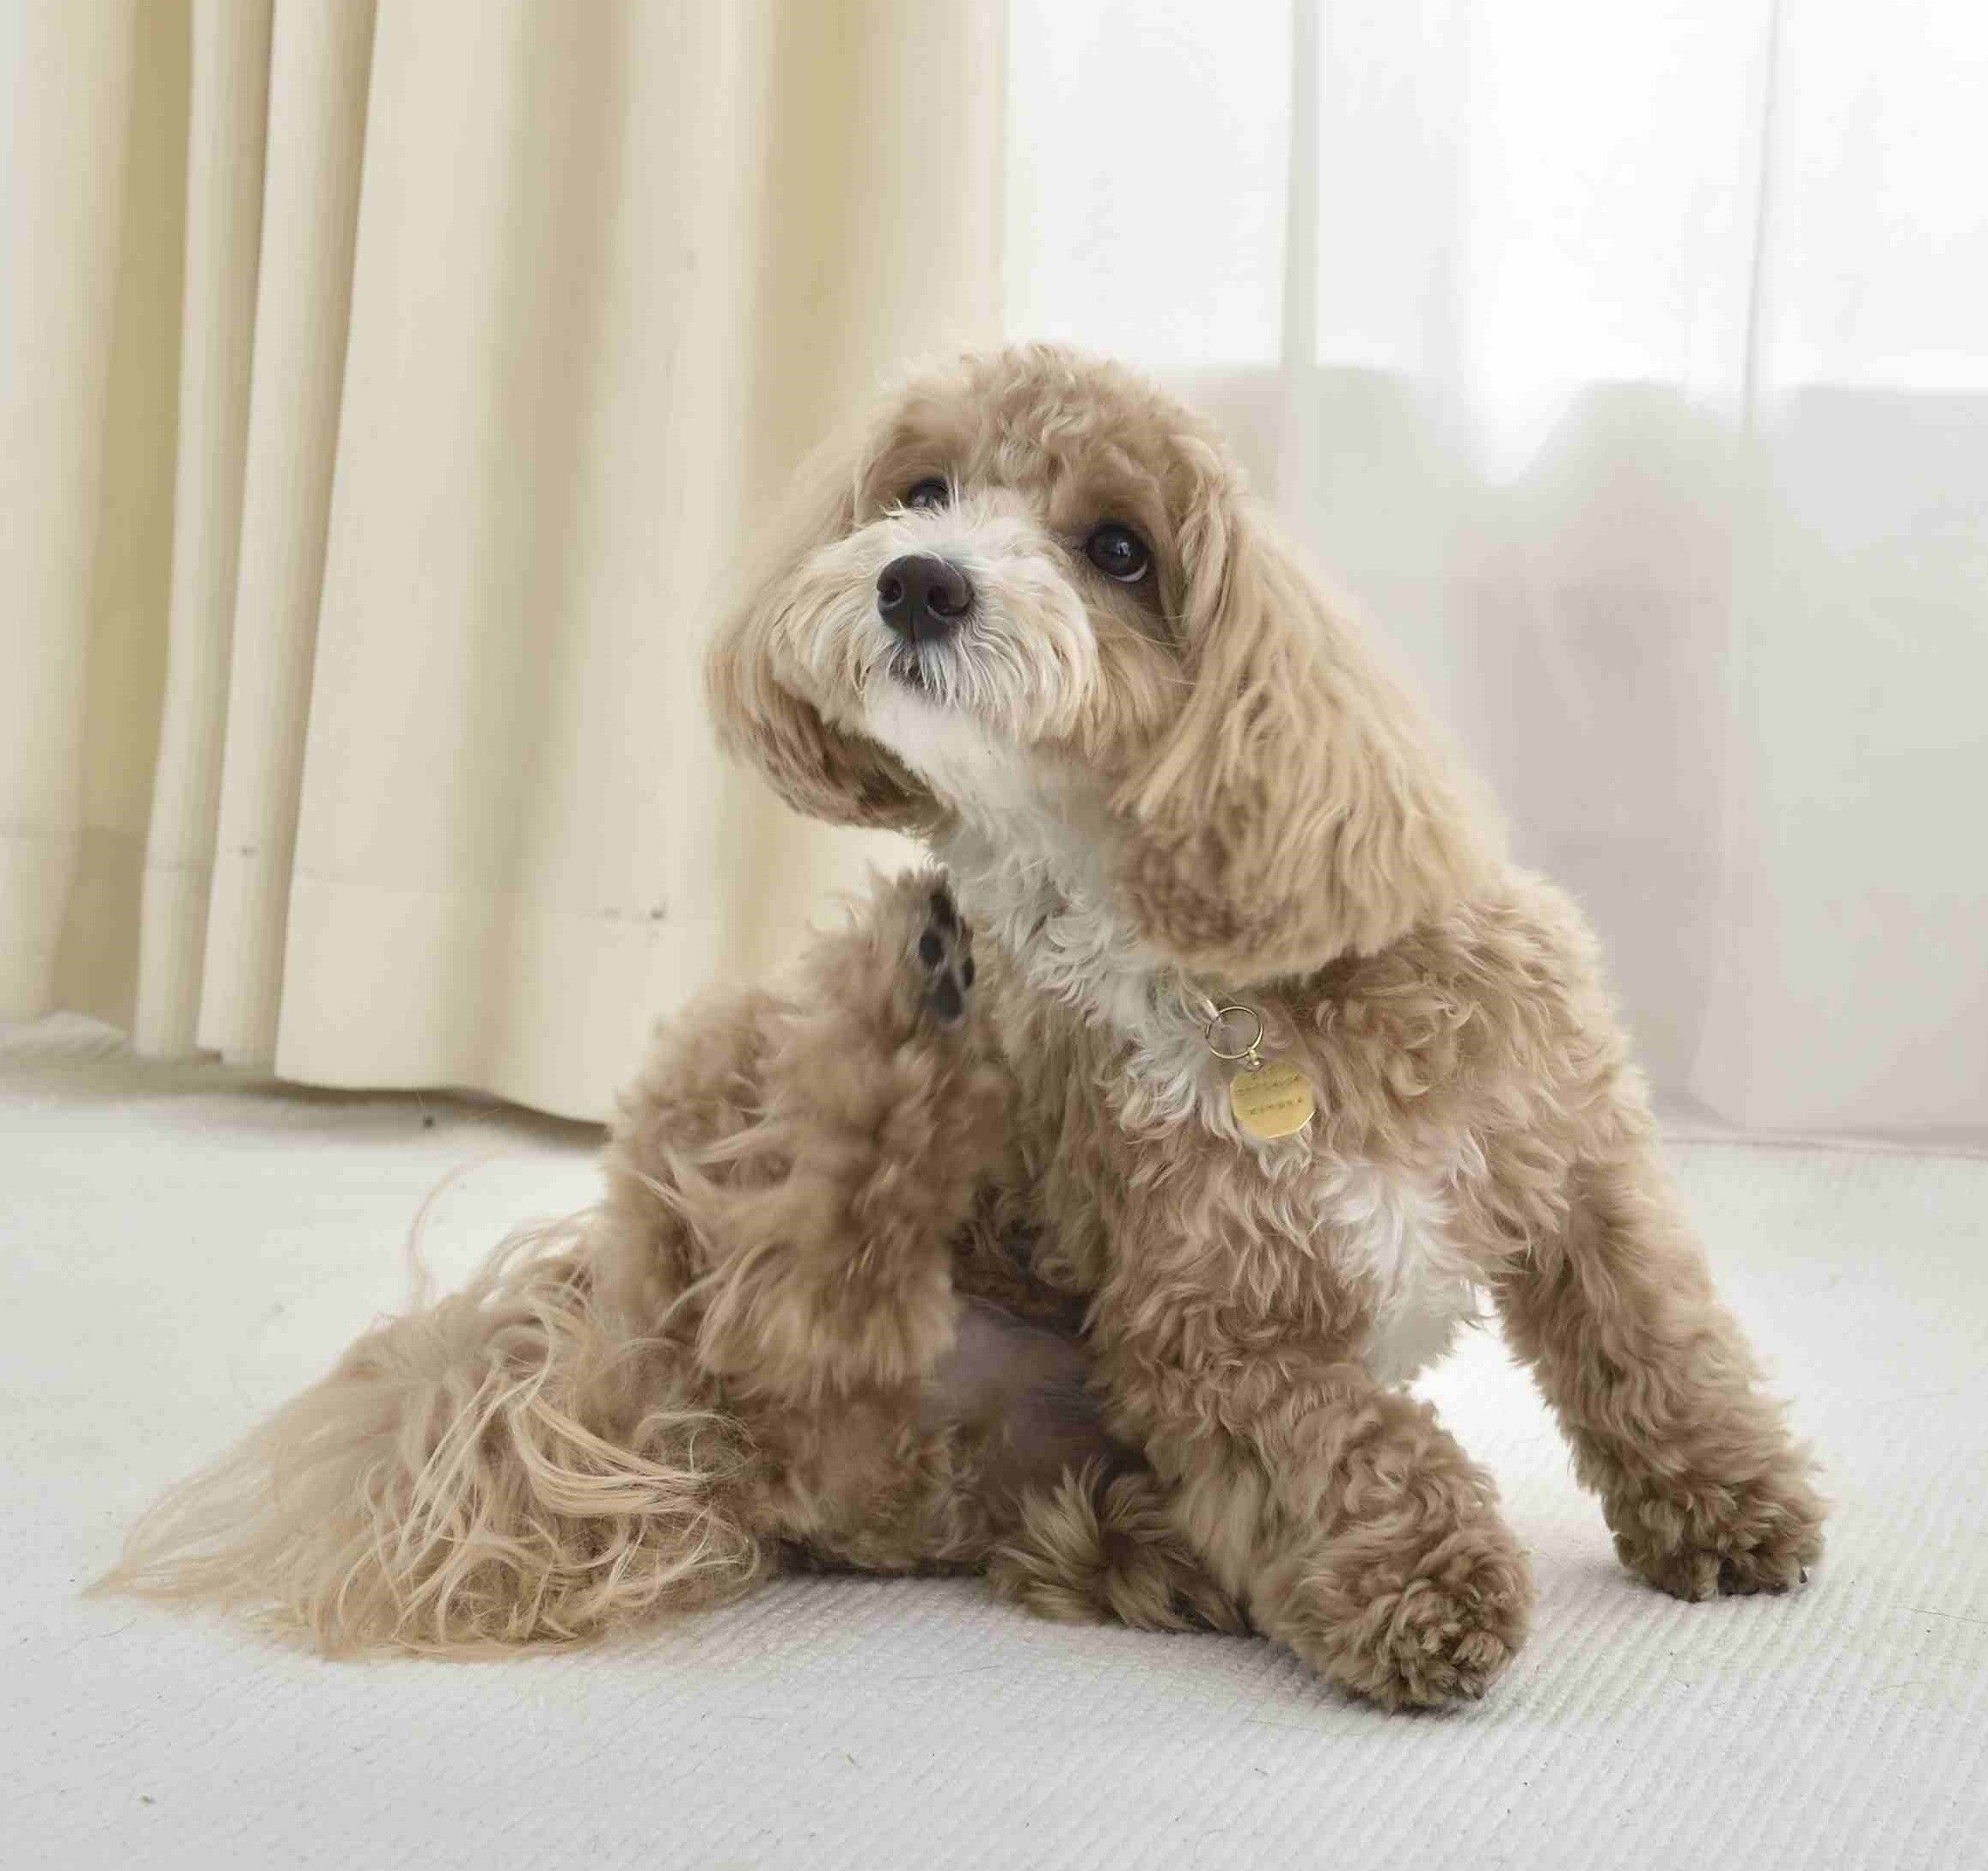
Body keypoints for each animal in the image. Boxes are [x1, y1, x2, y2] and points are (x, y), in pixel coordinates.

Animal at [104, 343, 1823, 1707]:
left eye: (1118, 546)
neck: (1209, 980)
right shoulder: (1217, 1328)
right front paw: (1432, 1597)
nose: (917, 579)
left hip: (969, 1453)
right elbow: (1359, 1451)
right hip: (729, 1113)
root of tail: (642, 1373)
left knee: (931, 1413)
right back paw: (910, 1007)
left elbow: (1655, 1343)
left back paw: (1170, 1544)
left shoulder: (1576, 1155)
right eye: (922, 487)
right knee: (795, 1282)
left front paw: (1728, 1512)